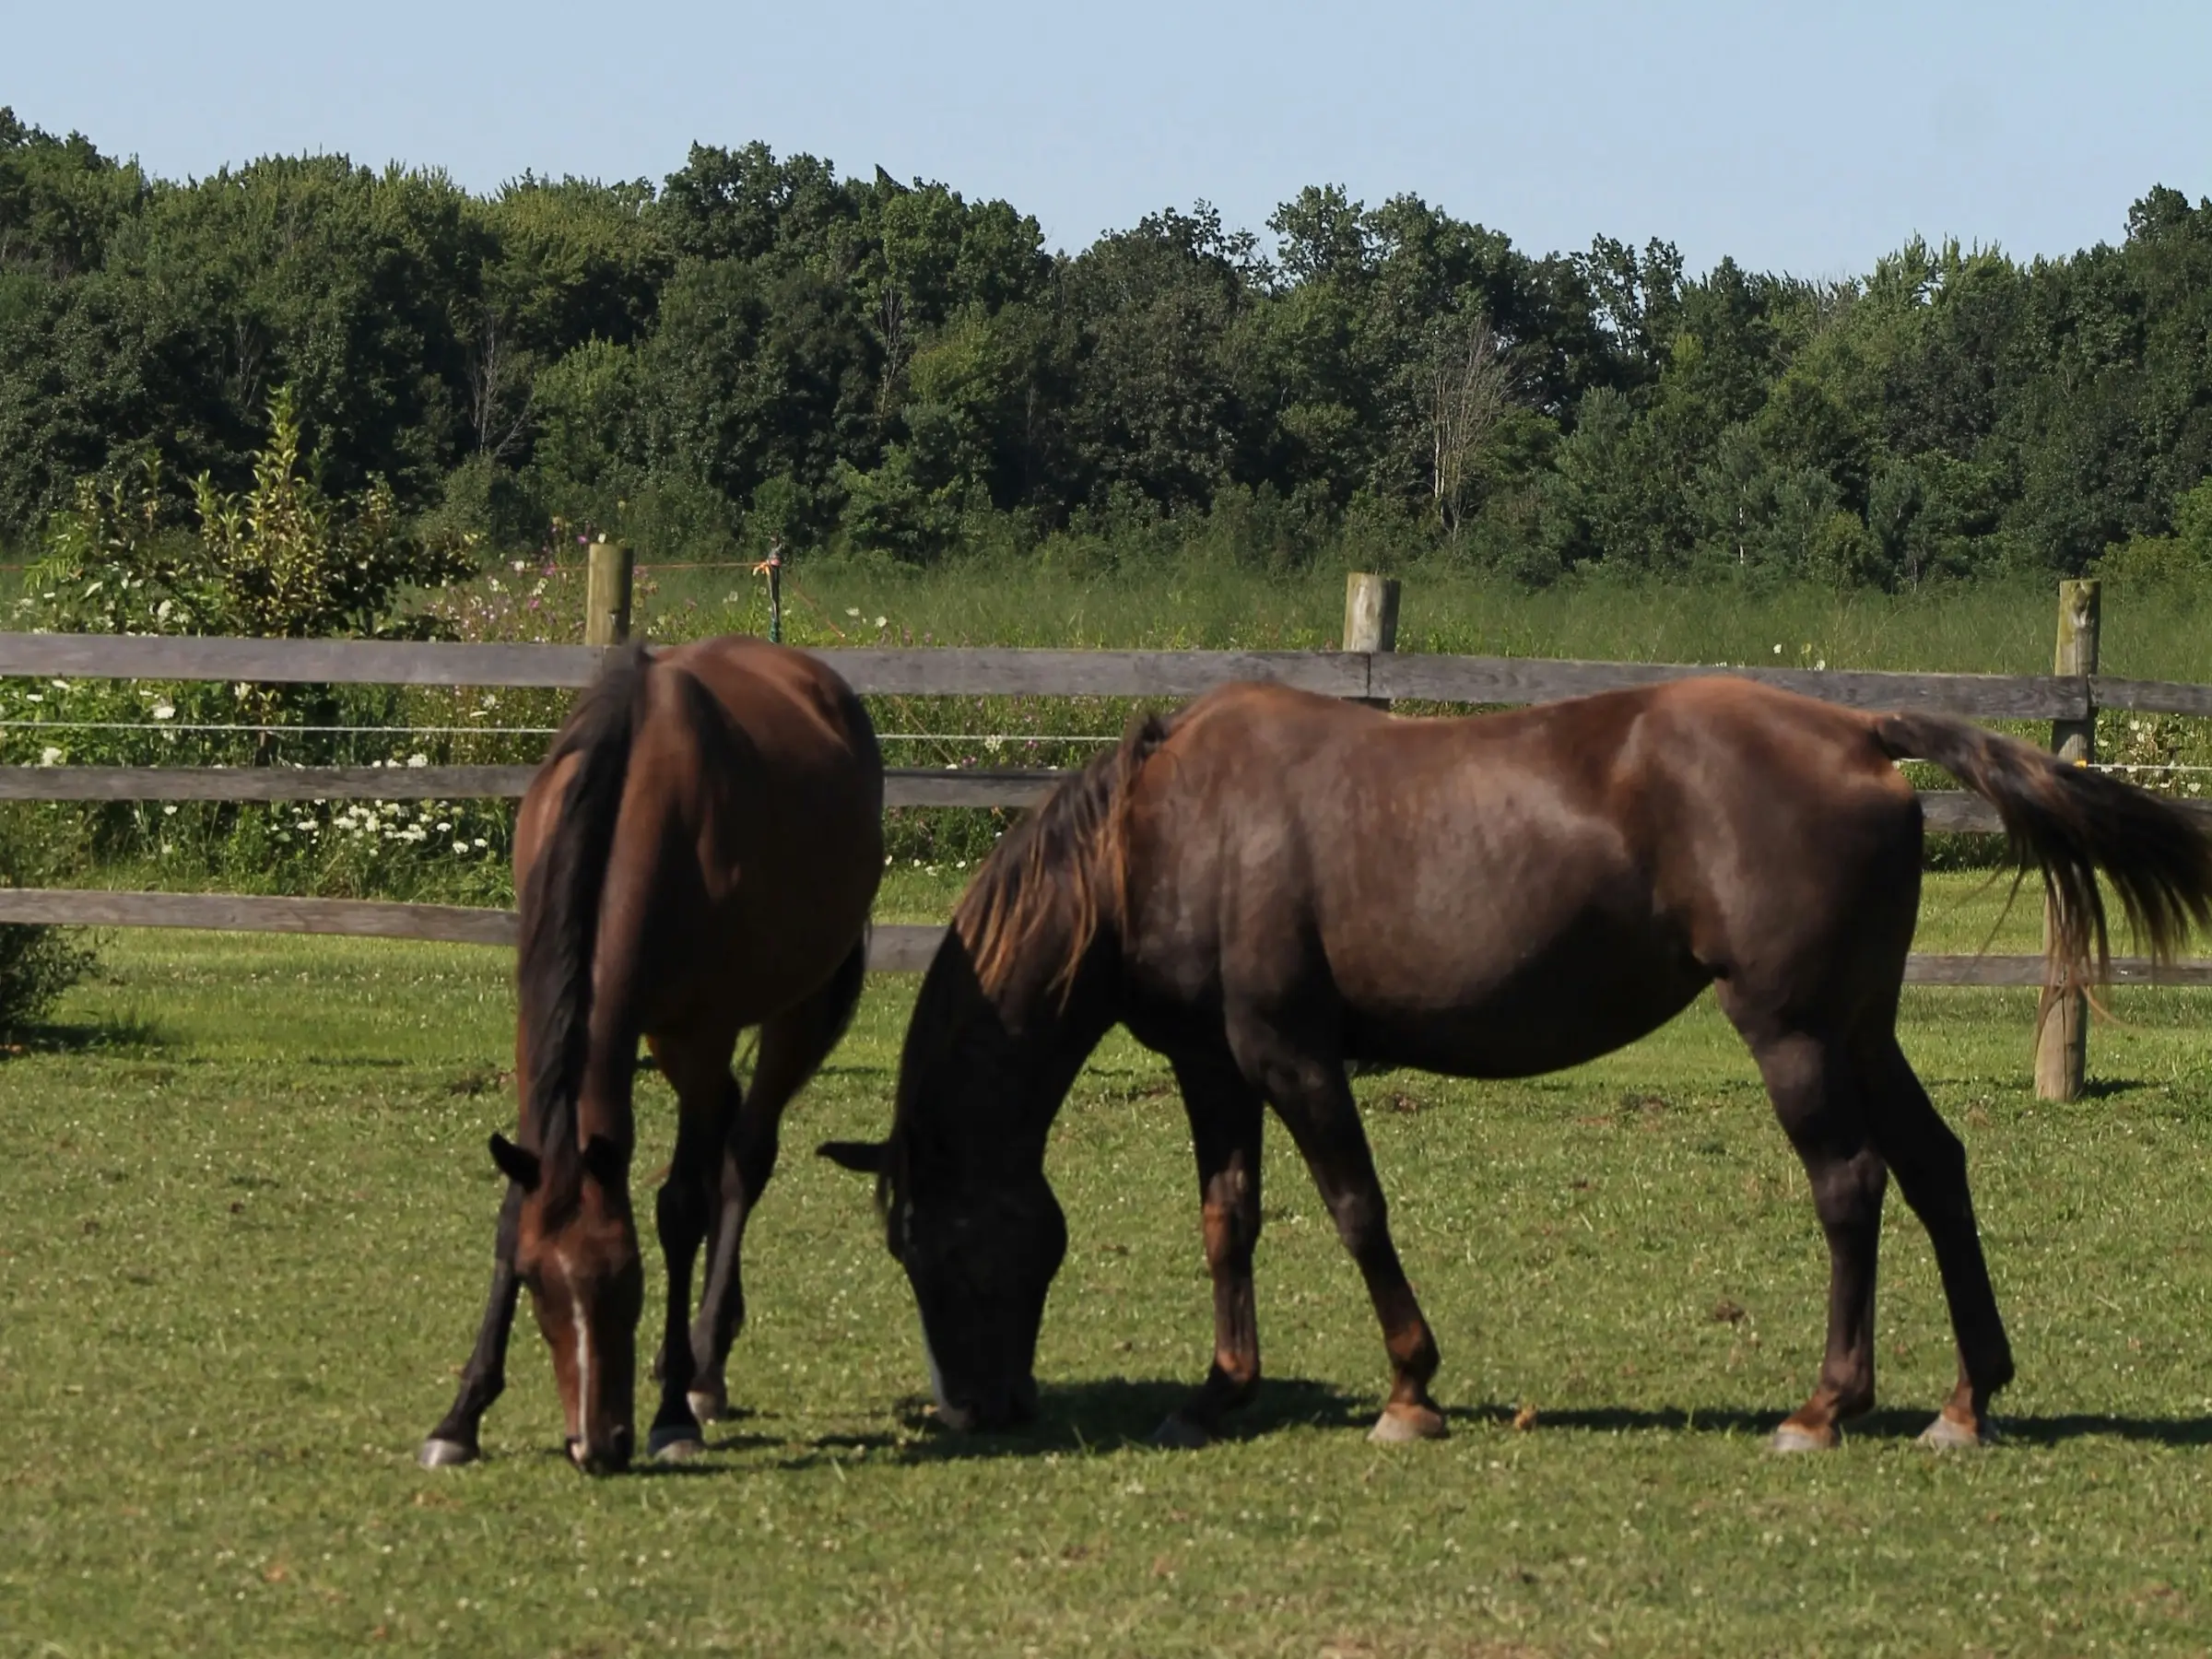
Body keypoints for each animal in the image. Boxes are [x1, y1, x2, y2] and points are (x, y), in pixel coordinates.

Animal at [420, 641, 880, 1477]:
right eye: (536, 1284)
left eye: (626, 1282)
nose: (595, 1445)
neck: (639, 802)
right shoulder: (540, 1023)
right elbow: (512, 1210)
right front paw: (460, 1417)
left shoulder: (703, 1032)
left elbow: (682, 1208)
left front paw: (671, 1417)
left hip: (791, 1009)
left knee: (744, 1156)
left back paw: (702, 1369)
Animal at [827, 677, 2212, 1451]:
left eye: (934, 1245)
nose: (975, 1410)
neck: (1161, 833)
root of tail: (1858, 728)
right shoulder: (1213, 1068)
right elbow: (1231, 1221)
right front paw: (1219, 1392)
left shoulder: (1288, 1052)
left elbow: (1354, 1207)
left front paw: (1409, 1388)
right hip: (1861, 1027)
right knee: (1935, 1169)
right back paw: (1967, 1401)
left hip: (1798, 1033)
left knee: (1852, 1186)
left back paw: (1825, 1405)